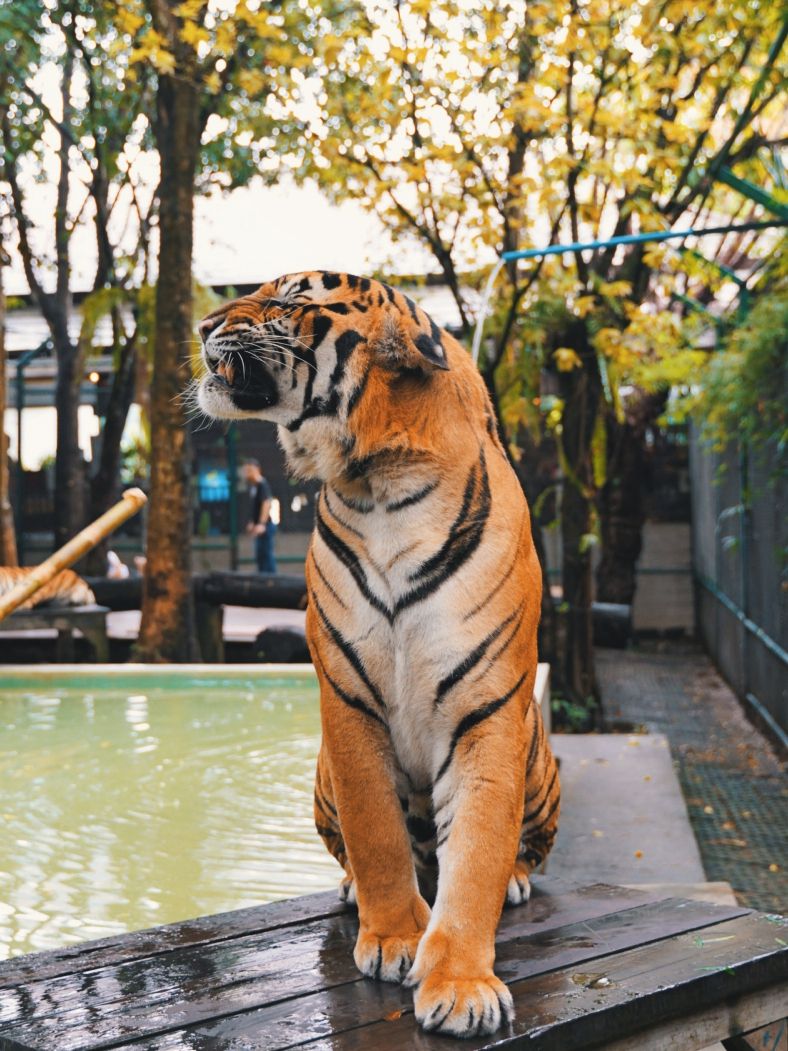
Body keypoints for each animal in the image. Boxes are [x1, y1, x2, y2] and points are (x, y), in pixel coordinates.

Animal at [197, 271, 560, 1039]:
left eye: (287, 301)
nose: (203, 325)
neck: (382, 484)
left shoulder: (486, 707)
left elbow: (478, 850)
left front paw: (461, 985)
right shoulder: (348, 697)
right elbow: (377, 836)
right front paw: (394, 937)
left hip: (537, 755)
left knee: (517, 848)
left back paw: (516, 879)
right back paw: (349, 889)